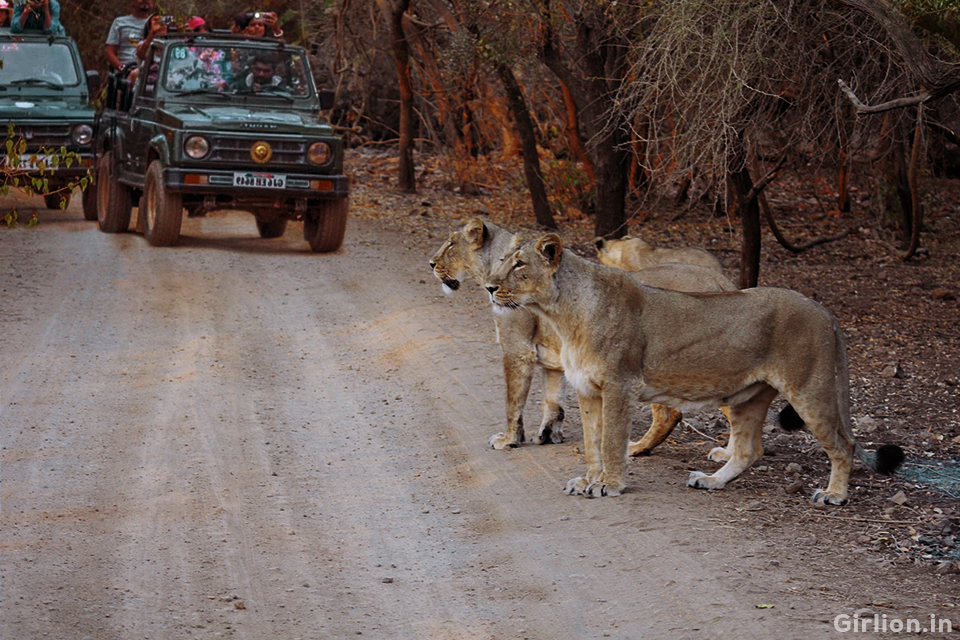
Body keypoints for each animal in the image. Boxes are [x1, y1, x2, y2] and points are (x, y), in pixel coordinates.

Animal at [428, 220, 736, 456]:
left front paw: (508, 440)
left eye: (451, 244)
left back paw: (638, 449)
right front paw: (548, 435)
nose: (430, 263)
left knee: (670, 415)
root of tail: (720, 280)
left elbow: (513, 401)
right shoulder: (553, 360)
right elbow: (553, 401)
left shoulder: (517, 349)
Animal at [484, 234, 904, 504]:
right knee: (749, 450)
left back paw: (834, 495)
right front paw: (588, 480)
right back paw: (711, 481)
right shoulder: (587, 389)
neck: (561, 313)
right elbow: (592, 442)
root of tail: (824, 311)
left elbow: (612, 440)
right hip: (749, 396)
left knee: (844, 445)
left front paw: (610, 485)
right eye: (501, 261)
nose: (489, 287)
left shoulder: (621, 384)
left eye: (519, 264)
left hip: (810, 389)